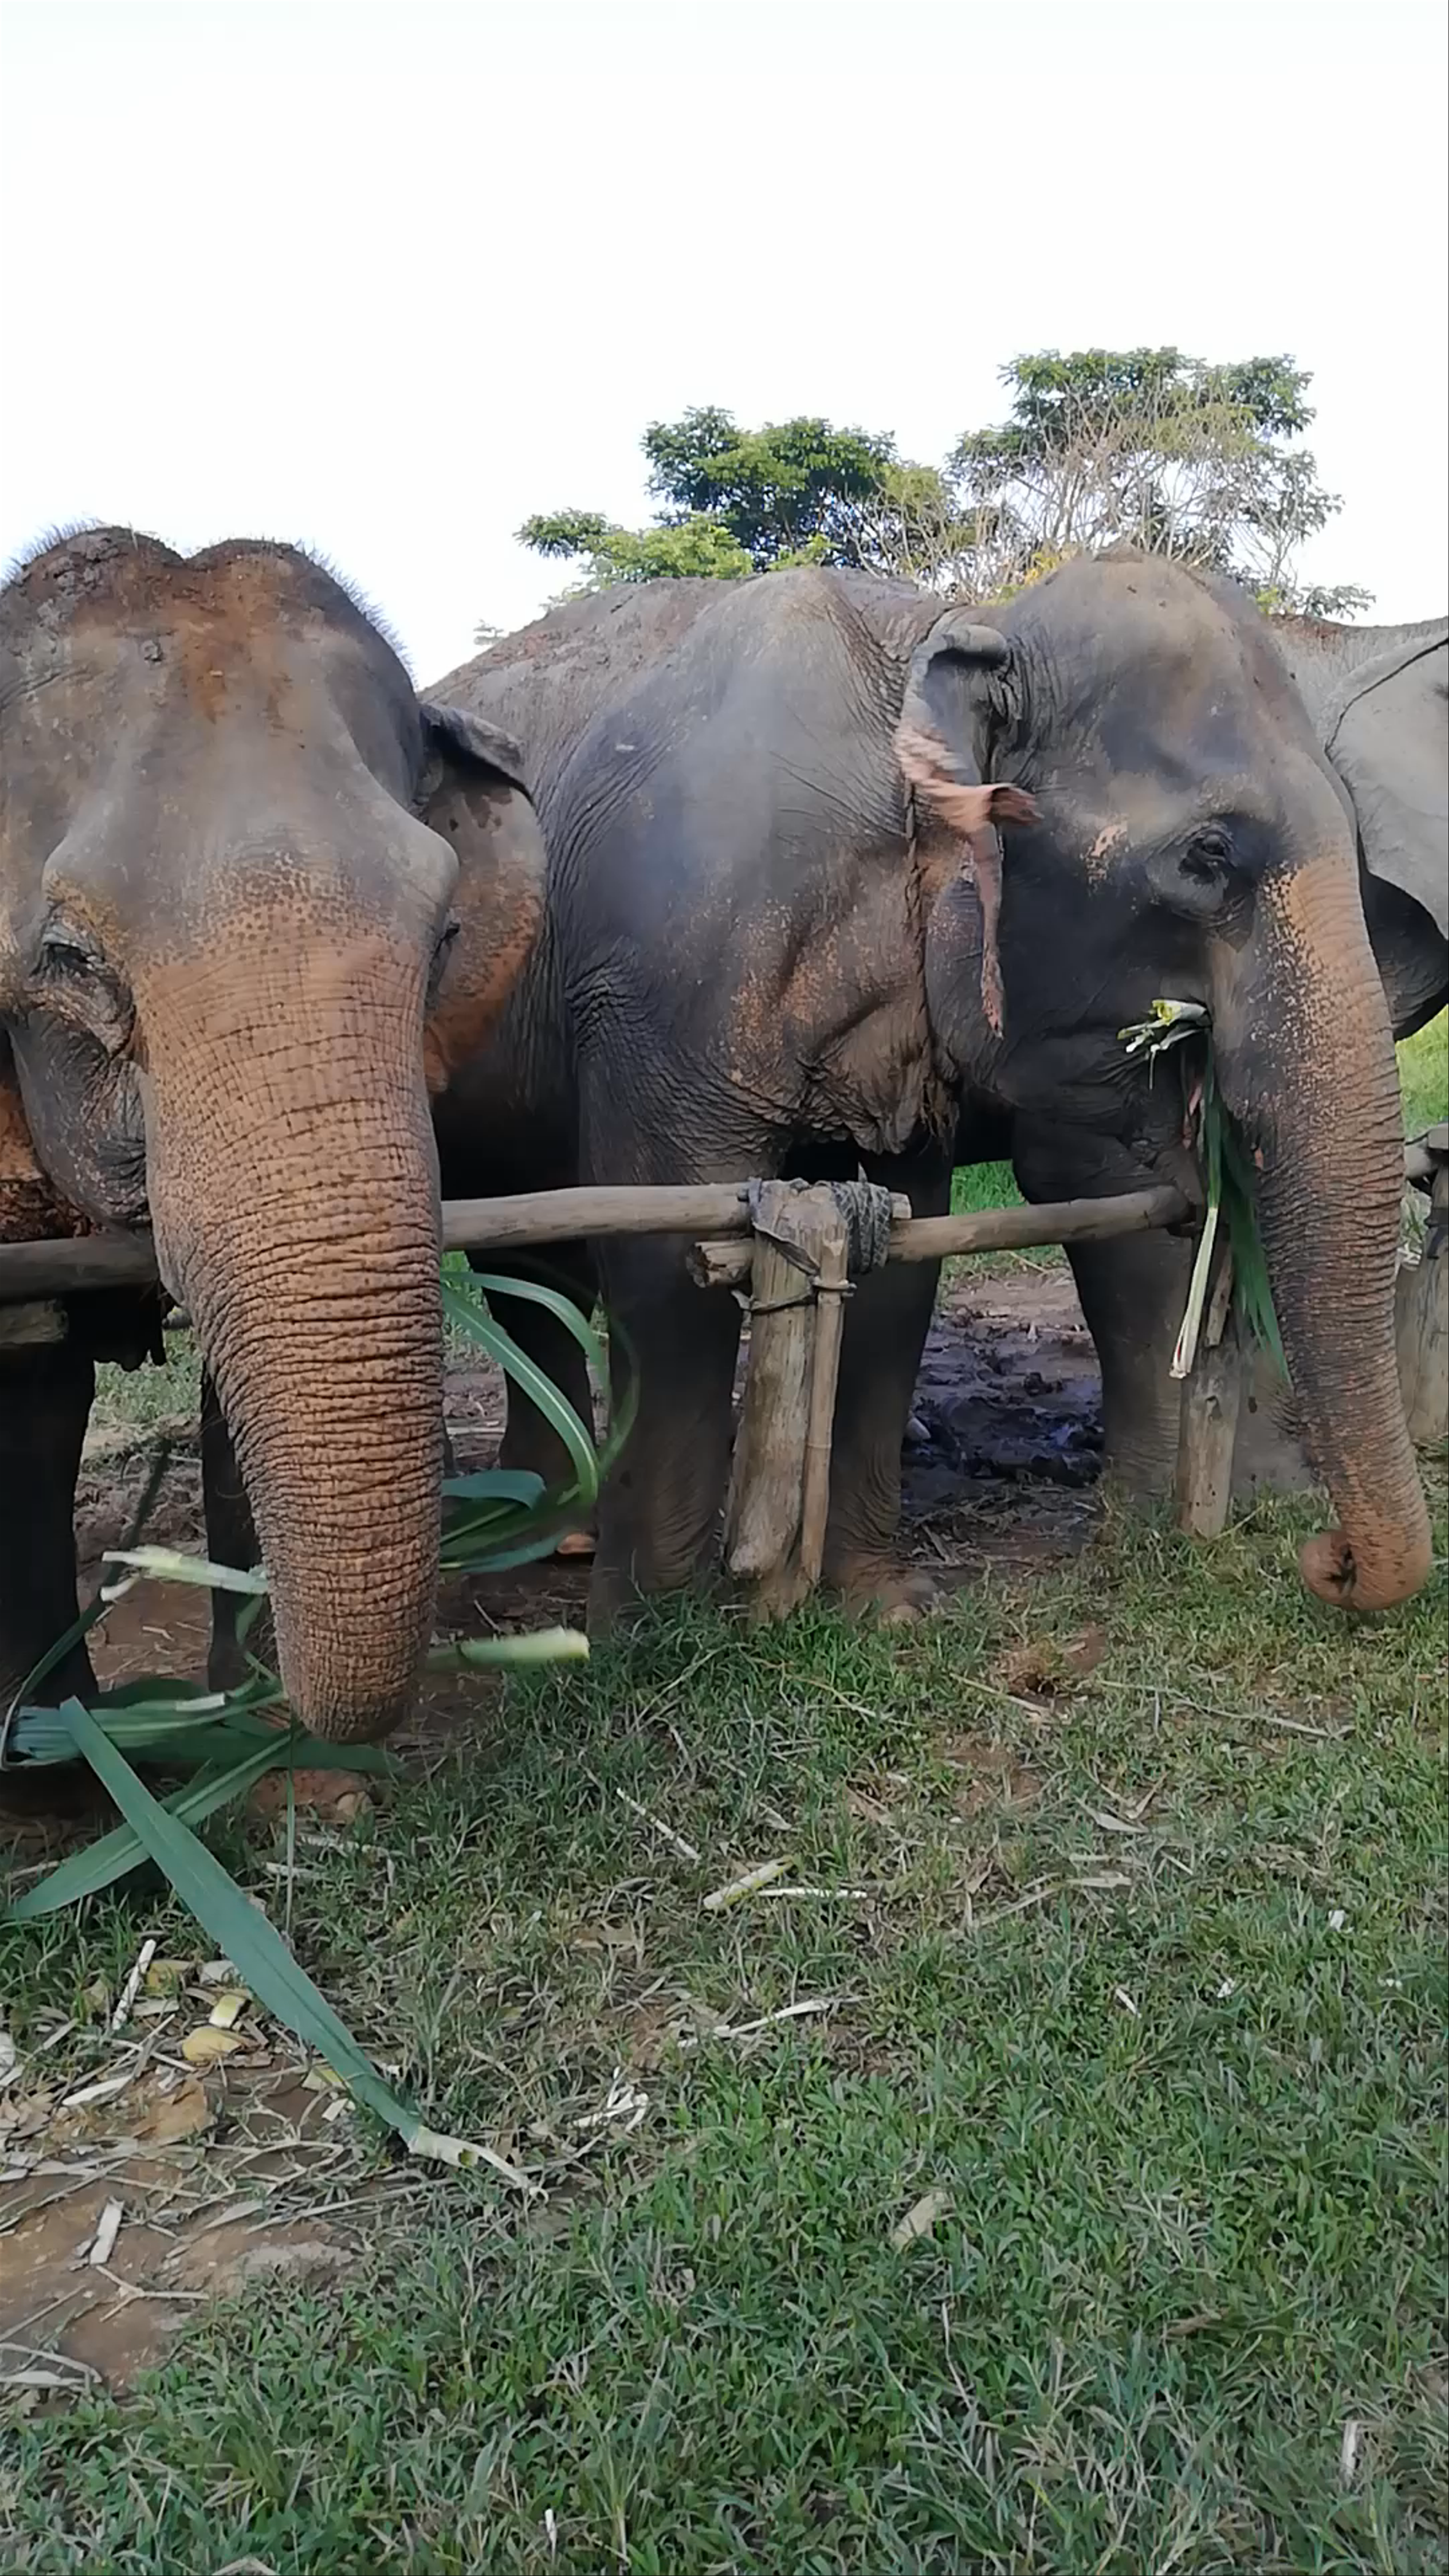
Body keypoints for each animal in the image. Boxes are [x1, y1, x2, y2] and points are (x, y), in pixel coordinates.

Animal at [0, 526, 545, 1746]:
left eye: (443, 936)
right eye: (70, 960)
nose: (270, 1694)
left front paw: (254, 1718)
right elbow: (31, 1384)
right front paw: (62, 1754)